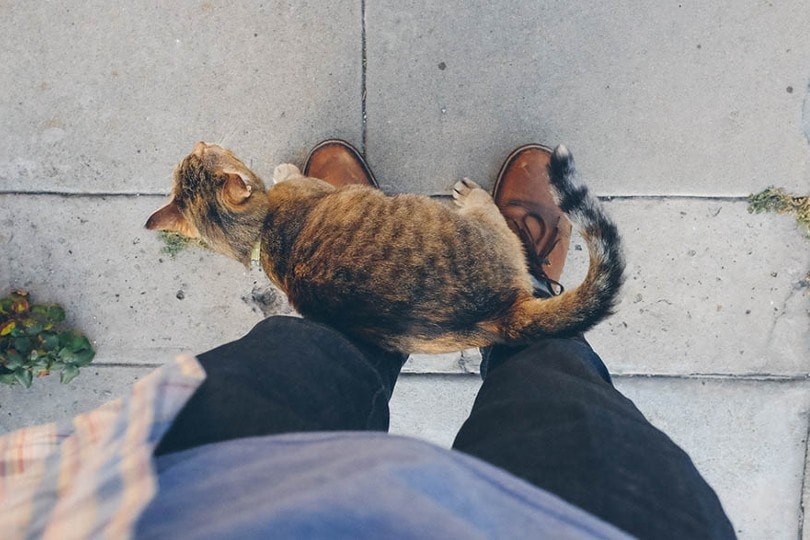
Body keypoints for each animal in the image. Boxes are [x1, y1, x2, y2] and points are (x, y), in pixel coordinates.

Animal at [147, 142, 624, 354]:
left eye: (198, 153)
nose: (201, 142)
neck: (261, 230)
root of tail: (501, 311)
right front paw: (283, 169)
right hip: (488, 229)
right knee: (488, 210)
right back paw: (472, 195)